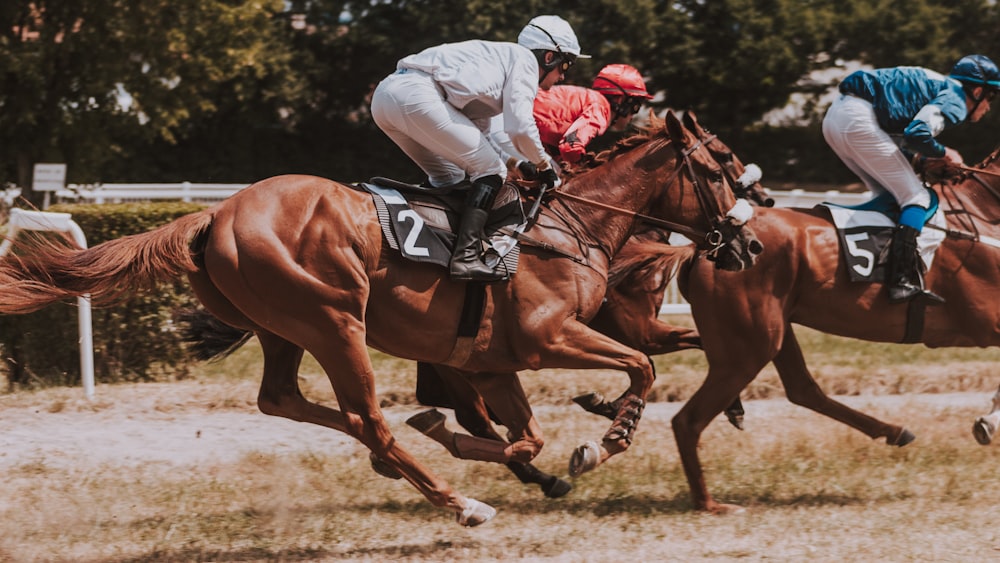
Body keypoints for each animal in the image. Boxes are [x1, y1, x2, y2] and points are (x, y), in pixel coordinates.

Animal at [668, 149, 1000, 516]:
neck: (981, 215)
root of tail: (704, 249)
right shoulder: (987, 322)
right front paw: (988, 422)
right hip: (747, 349)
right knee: (688, 420)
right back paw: (709, 503)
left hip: (772, 333)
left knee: (803, 390)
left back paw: (893, 431)